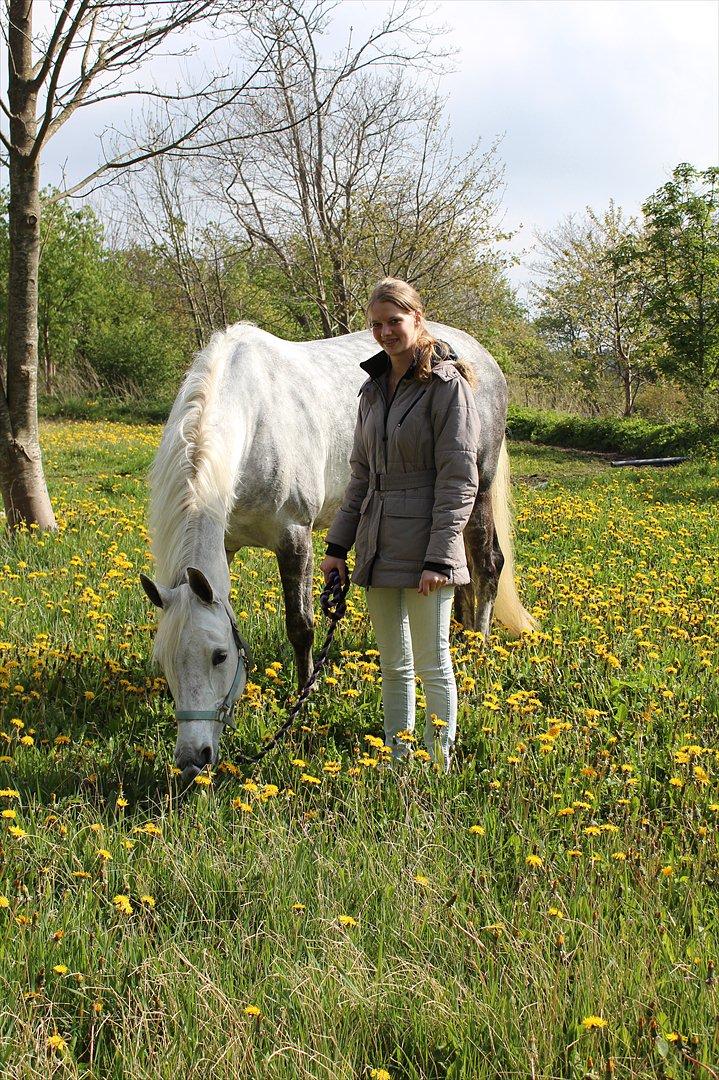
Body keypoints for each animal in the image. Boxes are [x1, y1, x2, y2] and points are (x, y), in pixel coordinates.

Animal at [138, 324, 531, 781]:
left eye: (219, 656)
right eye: (164, 661)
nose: (192, 761)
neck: (255, 421)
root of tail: (480, 356)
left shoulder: (294, 536)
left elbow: (301, 626)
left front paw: (303, 702)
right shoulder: (227, 544)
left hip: (477, 488)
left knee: (487, 565)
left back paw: (476, 651)